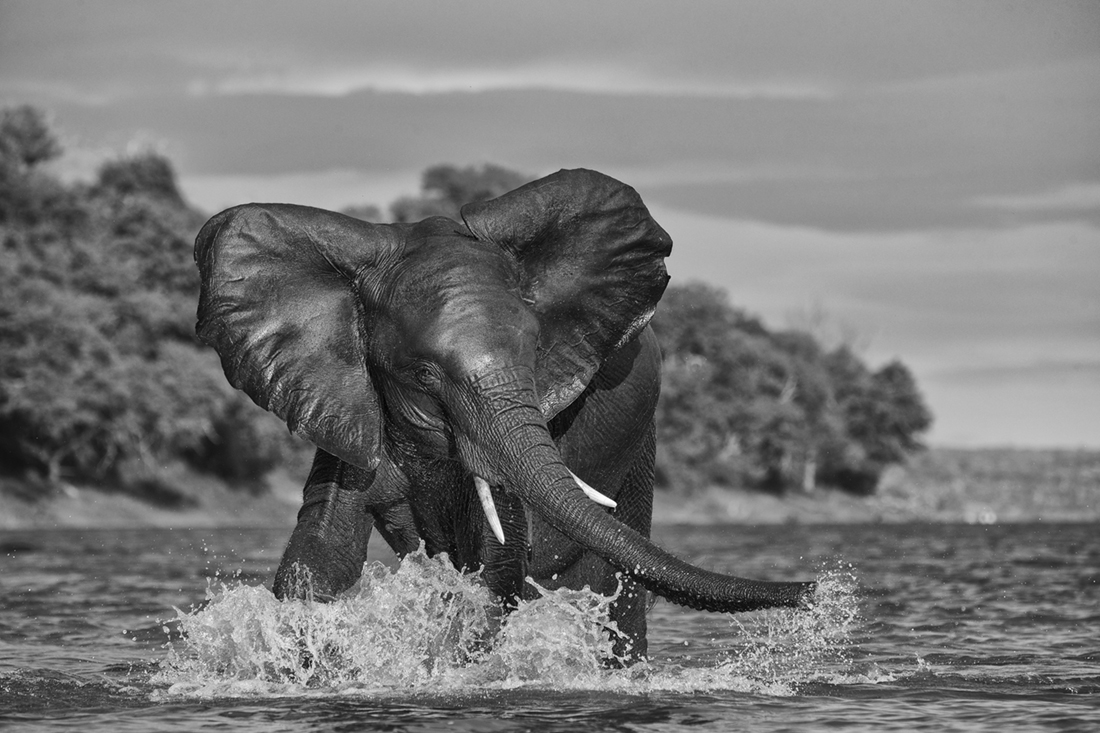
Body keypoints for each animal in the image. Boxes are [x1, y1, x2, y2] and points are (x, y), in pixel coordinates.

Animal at [194, 168, 814, 661]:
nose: (821, 589)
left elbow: (498, 564)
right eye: (424, 374)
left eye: (535, 351)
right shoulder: (350, 399)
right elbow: (323, 552)